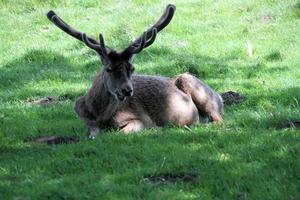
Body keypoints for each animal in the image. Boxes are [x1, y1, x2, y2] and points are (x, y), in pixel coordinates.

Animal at [47, 4, 223, 139]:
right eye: (109, 69)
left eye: (132, 68)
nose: (127, 90)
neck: (100, 115)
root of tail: (219, 96)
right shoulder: (86, 121)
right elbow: (92, 134)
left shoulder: (142, 119)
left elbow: (120, 133)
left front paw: (157, 129)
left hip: (194, 85)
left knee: (218, 121)